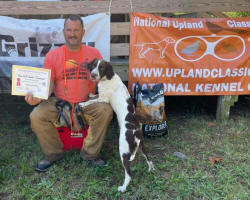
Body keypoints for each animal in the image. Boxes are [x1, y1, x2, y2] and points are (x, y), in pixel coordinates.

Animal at [80, 58, 154, 192]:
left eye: (102, 67)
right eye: (94, 65)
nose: (93, 75)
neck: (107, 78)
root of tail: (136, 134)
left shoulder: (103, 99)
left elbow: (91, 101)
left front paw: (82, 103)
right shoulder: (101, 95)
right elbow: (94, 96)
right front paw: (91, 94)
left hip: (123, 151)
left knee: (129, 173)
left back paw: (123, 188)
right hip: (142, 147)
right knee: (149, 159)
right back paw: (151, 169)